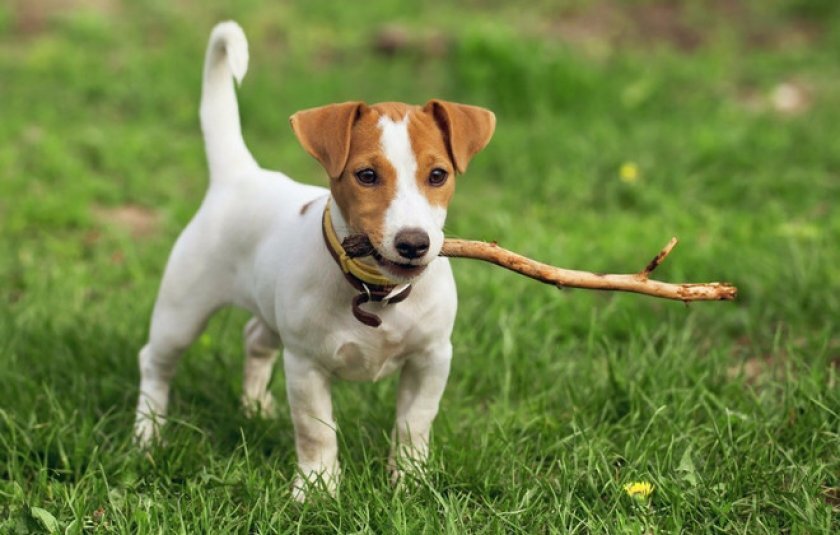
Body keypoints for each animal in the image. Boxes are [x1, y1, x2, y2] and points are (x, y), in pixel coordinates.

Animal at [135, 19, 496, 498]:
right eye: (367, 175)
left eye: (438, 175)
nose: (414, 243)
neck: (377, 291)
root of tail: (241, 174)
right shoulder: (306, 365)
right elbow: (315, 430)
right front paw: (318, 488)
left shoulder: (432, 358)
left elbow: (414, 424)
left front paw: (410, 480)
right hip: (182, 310)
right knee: (155, 362)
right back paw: (148, 433)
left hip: (269, 313)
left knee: (254, 338)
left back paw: (254, 406)